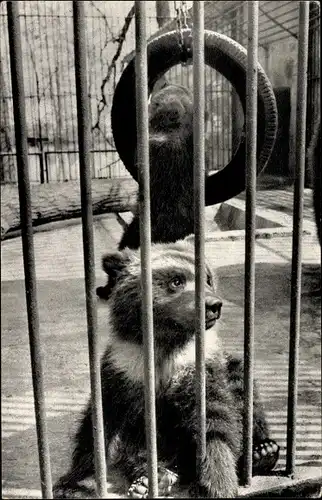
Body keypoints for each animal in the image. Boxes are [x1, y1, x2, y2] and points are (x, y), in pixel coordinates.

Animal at [54, 240, 278, 498]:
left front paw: (218, 483)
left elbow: (214, 419)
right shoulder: (124, 367)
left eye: (208, 278)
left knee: (244, 389)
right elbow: (100, 421)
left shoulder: (197, 366)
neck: (166, 341)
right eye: (176, 281)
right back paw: (151, 479)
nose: (214, 305)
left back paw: (263, 451)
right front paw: (75, 481)